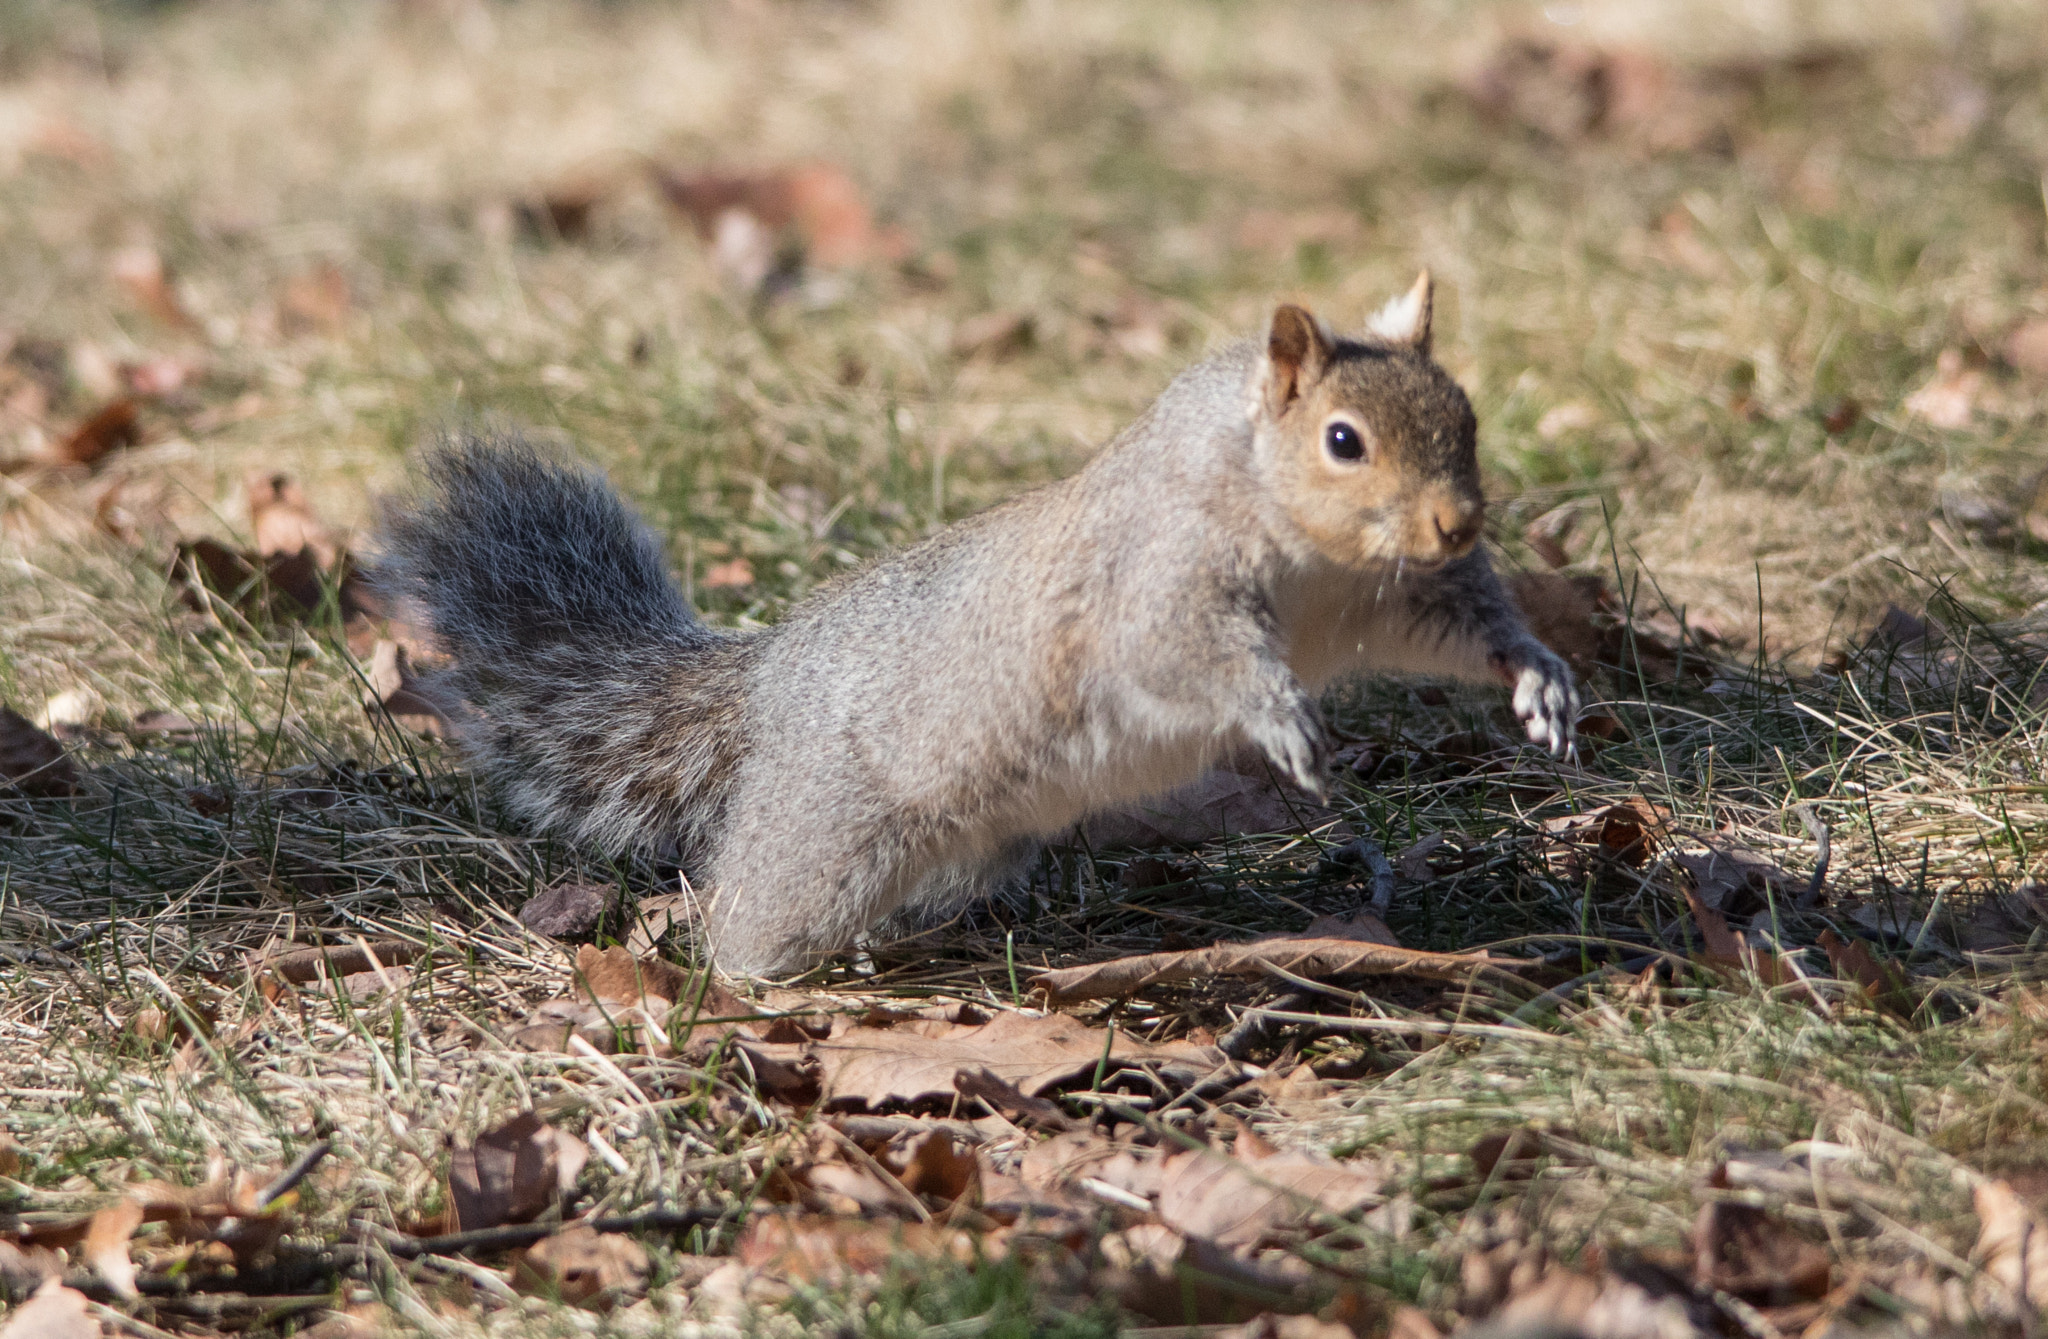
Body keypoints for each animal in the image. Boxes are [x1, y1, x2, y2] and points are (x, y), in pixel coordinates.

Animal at [376, 276, 1572, 986]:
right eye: (1341, 439)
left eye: (1464, 415)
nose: (1458, 521)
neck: (1315, 551)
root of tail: (767, 678)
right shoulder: (1158, 582)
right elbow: (1192, 657)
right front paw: (1282, 720)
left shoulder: (1402, 592)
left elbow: (1461, 626)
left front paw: (1539, 678)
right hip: (829, 835)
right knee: (749, 910)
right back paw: (752, 980)